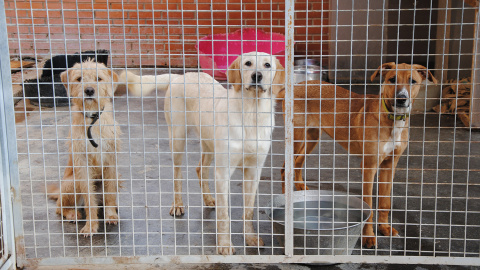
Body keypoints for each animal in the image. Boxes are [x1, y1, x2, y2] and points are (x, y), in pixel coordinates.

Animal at [48, 59, 122, 236]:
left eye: (98, 78)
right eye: (79, 79)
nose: (89, 90)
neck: (92, 120)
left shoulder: (111, 160)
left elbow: (110, 191)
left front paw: (111, 215)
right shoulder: (82, 163)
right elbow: (89, 198)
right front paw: (91, 225)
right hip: (72, 183)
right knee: (59, 208)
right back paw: (72, 214)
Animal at [280, 62, 436, 247]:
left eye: (413, 81)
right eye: (392, 79)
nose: (401, 99)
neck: (392, 119)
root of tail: (297, 86)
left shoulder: (389, 165)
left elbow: (385, 202)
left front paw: (384, 228)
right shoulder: (369, 167)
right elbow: (368, 205)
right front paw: (368, 236)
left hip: (312, 137)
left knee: (298, 163)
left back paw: (300, 189)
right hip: (296, 138)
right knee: (285, 169)